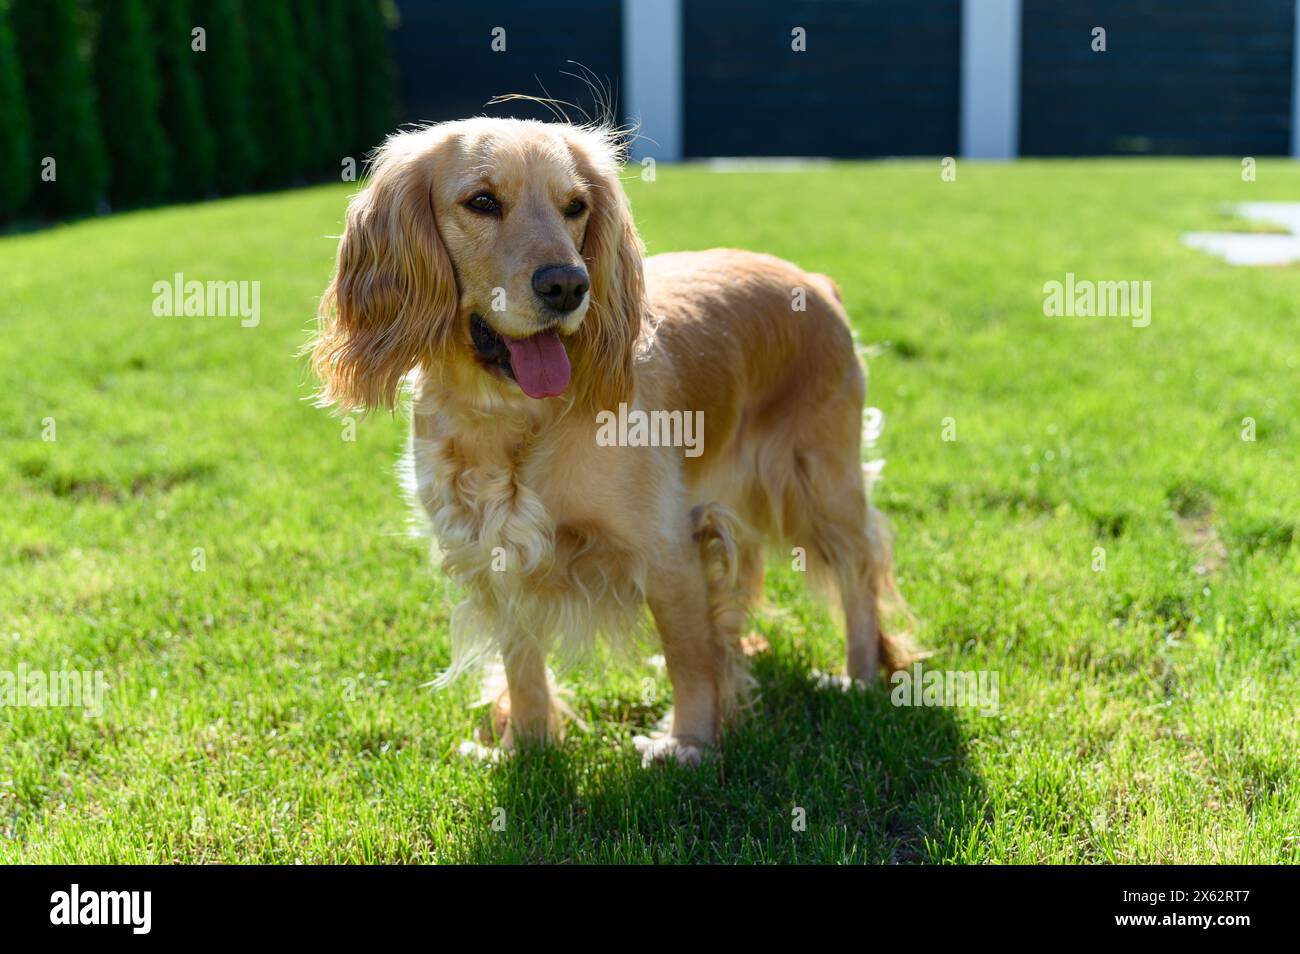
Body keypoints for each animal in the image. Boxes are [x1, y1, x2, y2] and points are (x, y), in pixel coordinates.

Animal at [308, 119, 909, 764]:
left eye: (575, 207)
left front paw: (687, 743)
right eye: (482, 201)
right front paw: (526, 747)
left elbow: (690, 658)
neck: (512, 420)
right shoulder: (498, 553)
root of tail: (816, 283)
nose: (568, 285)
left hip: (818, 484)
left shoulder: (668, 548)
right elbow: (523, 666)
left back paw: (856, 676)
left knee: (859, 572)